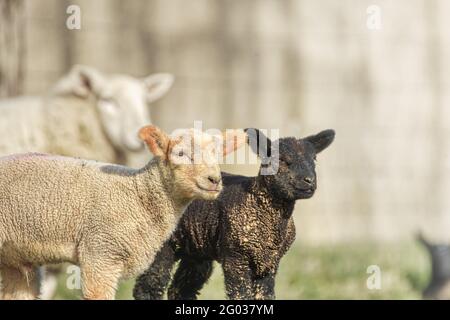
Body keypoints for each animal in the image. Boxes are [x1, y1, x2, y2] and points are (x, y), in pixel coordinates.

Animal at [133, 128, 334, 300]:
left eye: (314, 160)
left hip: (197, 249)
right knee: (149, 287)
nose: (309, 181)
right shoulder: (236, 258)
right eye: (282, 160)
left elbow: (265, 295)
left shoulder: (269, 263)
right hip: (162, 244)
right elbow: (240, 295)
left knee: (180, 289)